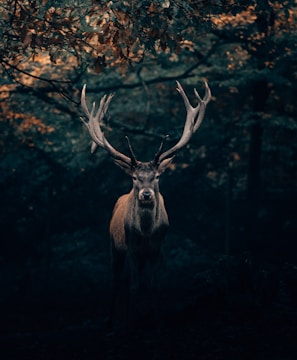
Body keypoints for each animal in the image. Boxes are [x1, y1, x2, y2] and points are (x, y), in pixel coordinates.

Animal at [80, 80, 212, 328]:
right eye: (134, 177)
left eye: (157, 176)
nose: (146, 195)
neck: (147, 232)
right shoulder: (131, 248)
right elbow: (133, 287)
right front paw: (130, 323)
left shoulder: (157, 249)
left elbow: (154, 286)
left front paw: (156, 322)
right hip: (113, 246)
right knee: (117, 281)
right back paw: (110, 322)